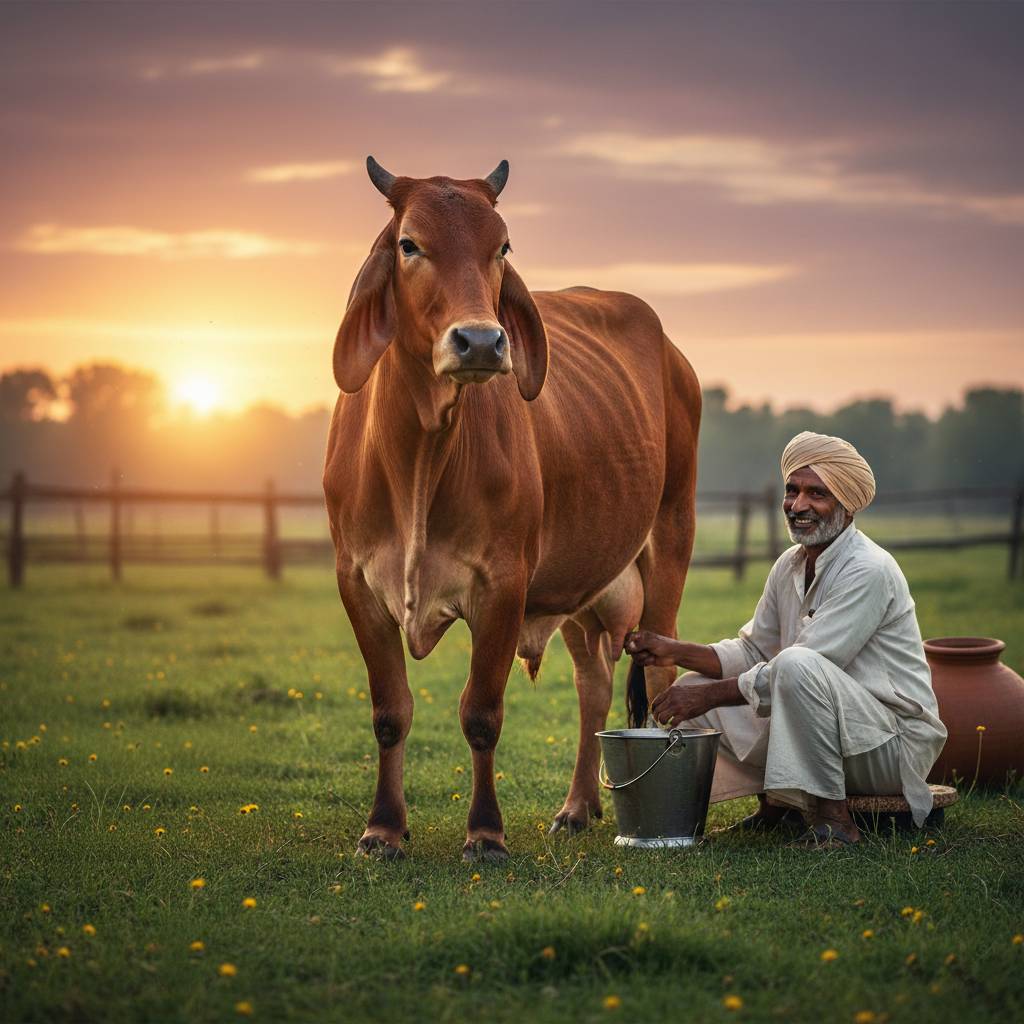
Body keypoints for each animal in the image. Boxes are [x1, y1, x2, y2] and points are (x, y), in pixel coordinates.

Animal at [323, 157, 701, 861]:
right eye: (409, 244)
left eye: (501, 247)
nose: (480, 341)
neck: (421, 455)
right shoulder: (357, 582)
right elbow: (390, 712)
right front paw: (383, 828)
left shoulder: (503, 584)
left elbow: (480, 714)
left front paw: (485, 832)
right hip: (581, 583)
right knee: (592, 685)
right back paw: (577, 808)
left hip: (671, 535)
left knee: (660, 676)